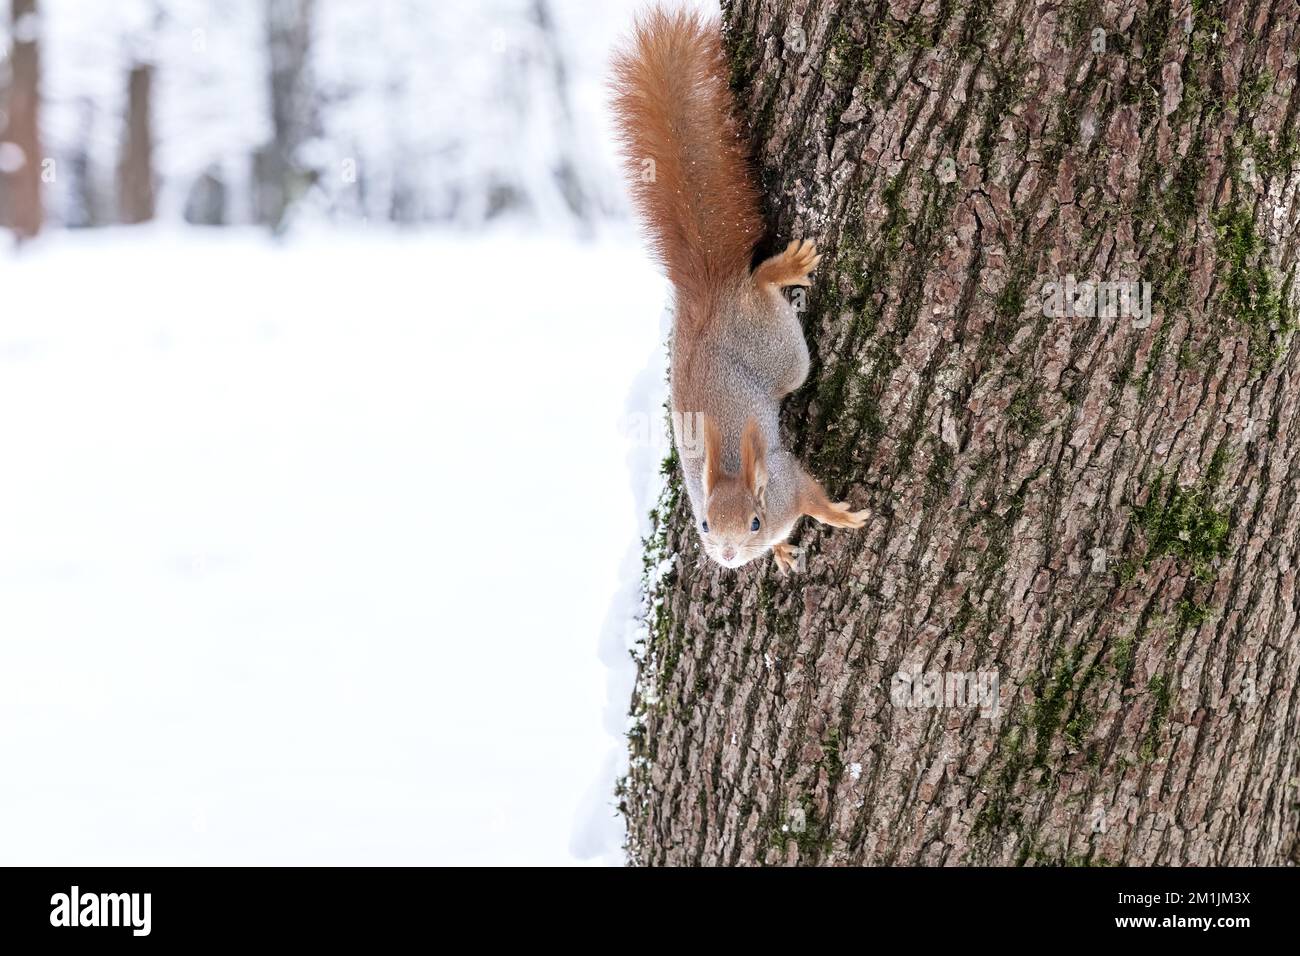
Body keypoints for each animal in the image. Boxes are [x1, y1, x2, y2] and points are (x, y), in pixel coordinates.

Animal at [612, 6, 869, 573]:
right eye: (705, 524)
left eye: (753, 521)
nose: (728, 556)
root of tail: (709, 295)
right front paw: (782, 552)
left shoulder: (790, 484)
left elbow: (812, 498)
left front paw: (838, 518)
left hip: (780, 352)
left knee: (761, 286)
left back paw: (781, 268)